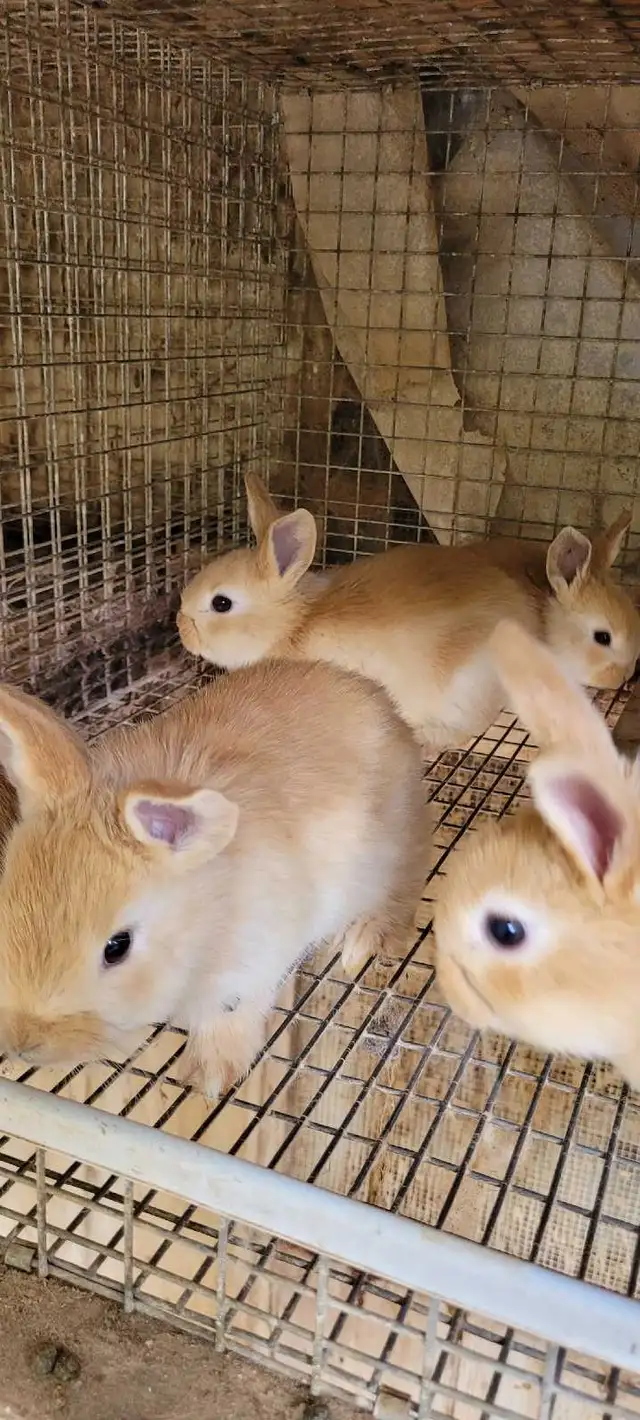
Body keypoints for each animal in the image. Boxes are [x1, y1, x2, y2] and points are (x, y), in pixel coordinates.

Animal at [0, 663, 428, 1099]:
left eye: (117, 947)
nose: (25, 1044)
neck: (207, 911)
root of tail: (383, 704)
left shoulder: (251, 964)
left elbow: (230, 1013)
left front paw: (207, 1075)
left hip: (389, 856)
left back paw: (365, 939)